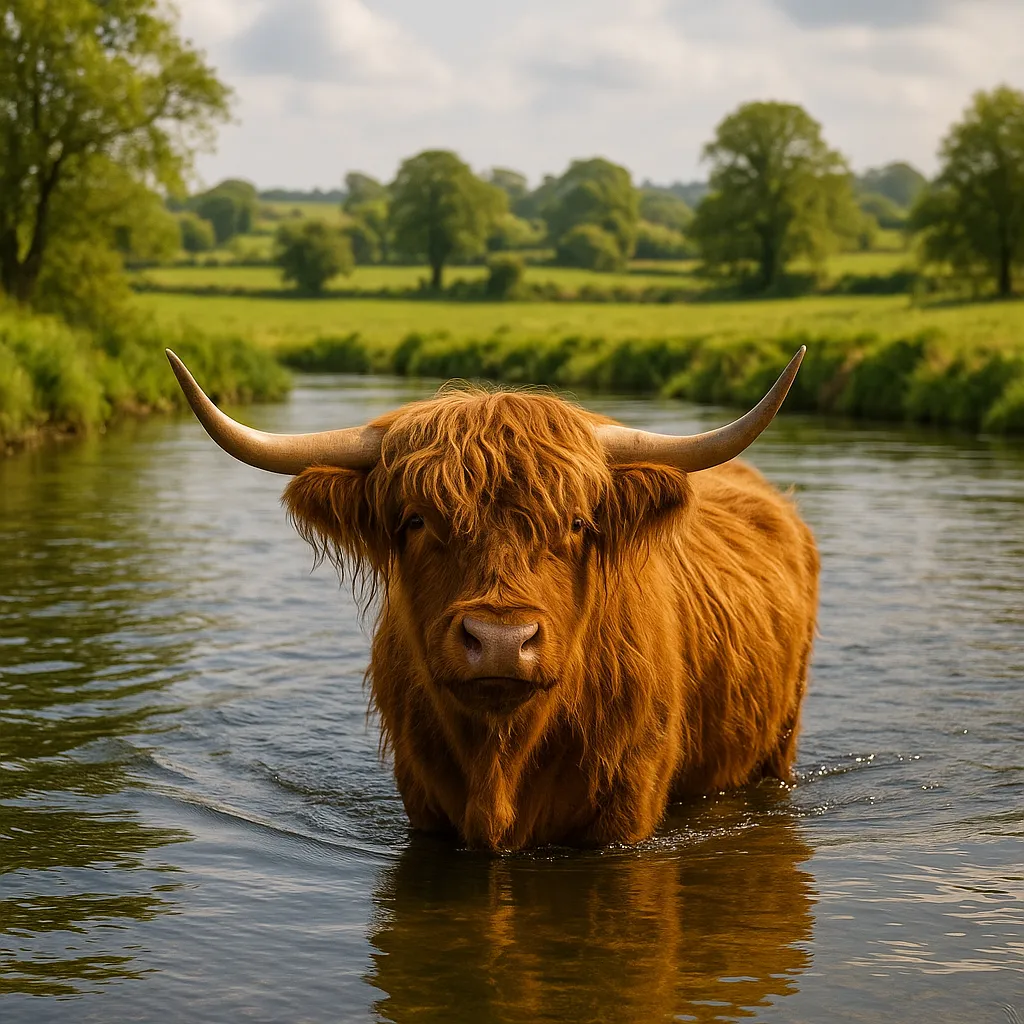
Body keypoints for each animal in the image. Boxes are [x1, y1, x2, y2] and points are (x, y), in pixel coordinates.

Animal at [167, 348, 819, 852]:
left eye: (577, 523)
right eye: (415, 521)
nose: (502, 641)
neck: (501, 757)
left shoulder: (627, 806)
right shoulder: (423, 802)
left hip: (780, 741)